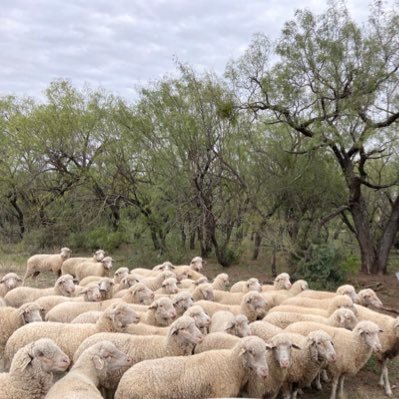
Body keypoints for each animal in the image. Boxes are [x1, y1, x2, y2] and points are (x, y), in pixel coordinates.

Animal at [115, 336, 268, 398]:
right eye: (251, 352)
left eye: (265, 351)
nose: (265, 372)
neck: (231, 364)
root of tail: (121, 385)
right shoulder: (220, 394)